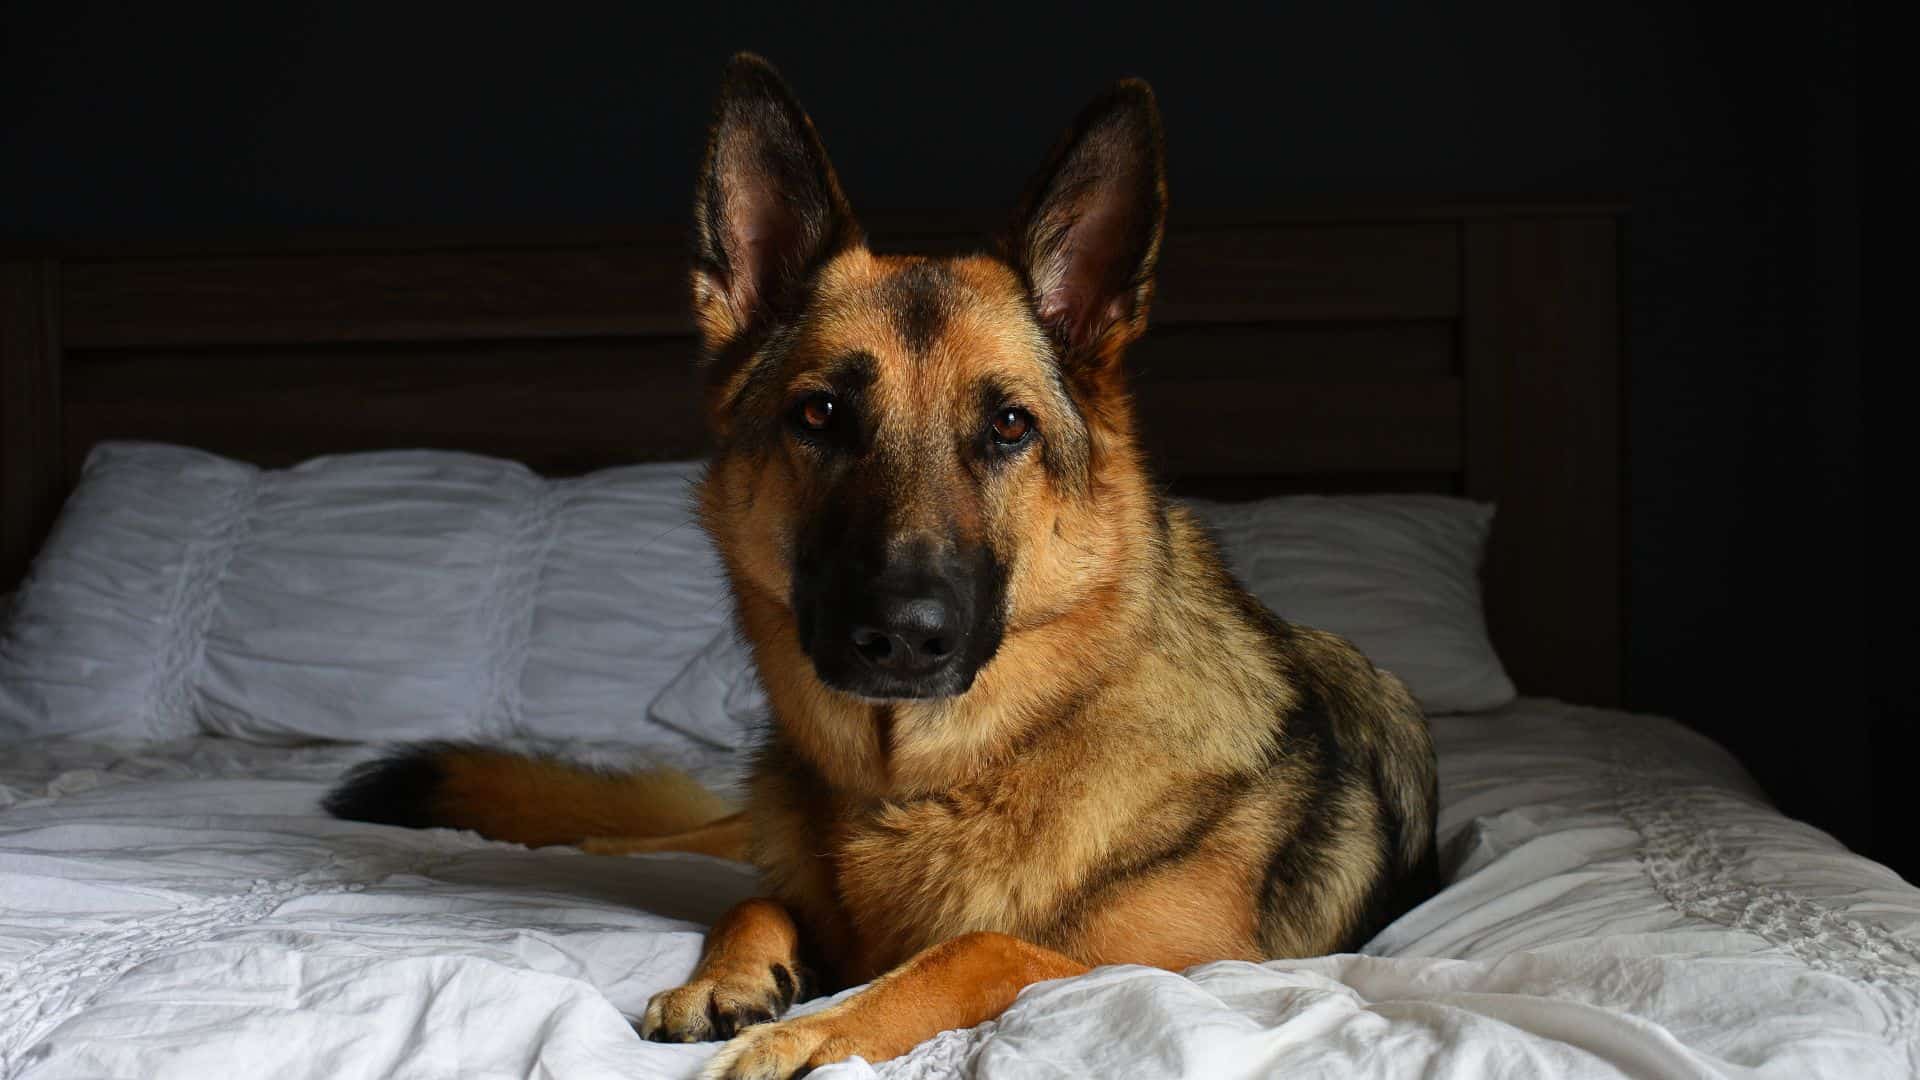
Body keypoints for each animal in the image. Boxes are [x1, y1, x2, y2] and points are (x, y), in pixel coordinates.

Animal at [330, 54, 1443, 1068]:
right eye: (821, 414)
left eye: (1008, 426)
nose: (903, 639)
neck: (934, 777)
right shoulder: (793, 877)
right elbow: (754, 903)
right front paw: (729, 979)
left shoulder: (1193, 961)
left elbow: (983, 947)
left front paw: (820, 1031)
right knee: (692, 834)